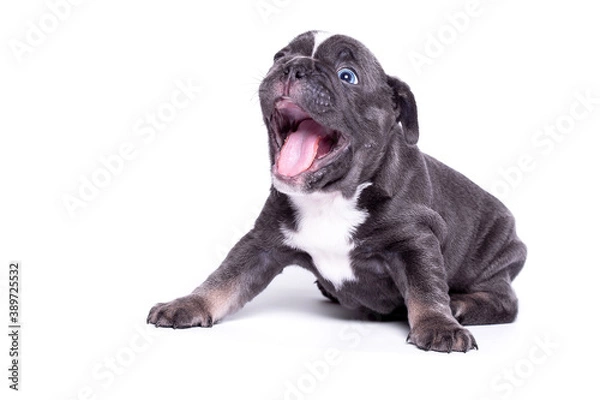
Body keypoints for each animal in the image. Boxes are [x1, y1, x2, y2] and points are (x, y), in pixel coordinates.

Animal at [148, 29, 528, 352]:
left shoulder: (416, 241)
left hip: (494, 256)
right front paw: (189, 303)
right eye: (279, 57)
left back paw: (462, 305)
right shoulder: (262, 242)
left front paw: (439, 324)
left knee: (506, 301)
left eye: (347, 76)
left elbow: (426, 286)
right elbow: (226, 277)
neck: (331, 197)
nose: (294, 66)